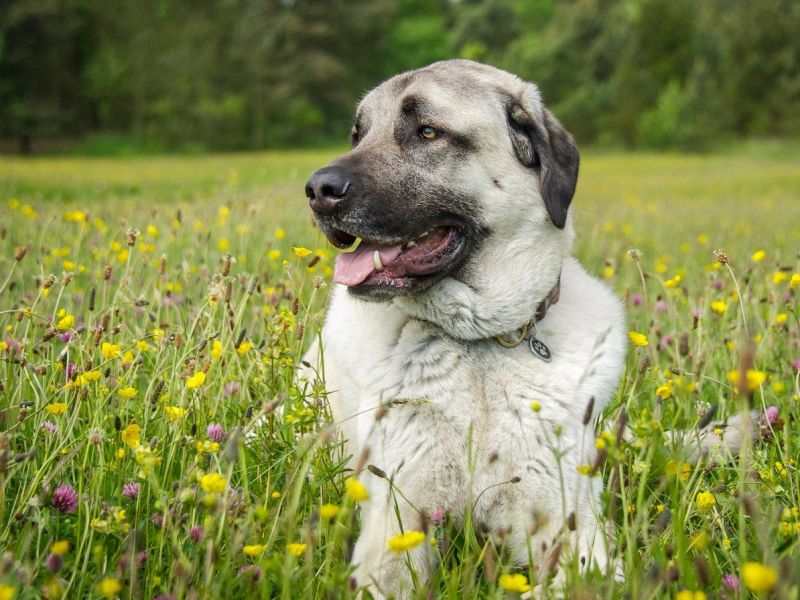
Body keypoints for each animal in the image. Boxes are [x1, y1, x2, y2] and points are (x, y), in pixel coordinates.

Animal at [298, 59, 624, 596]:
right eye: (358, 135)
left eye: (428, 132)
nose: (317, 191)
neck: (478, 345)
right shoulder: (397, 519)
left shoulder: (568, 521)